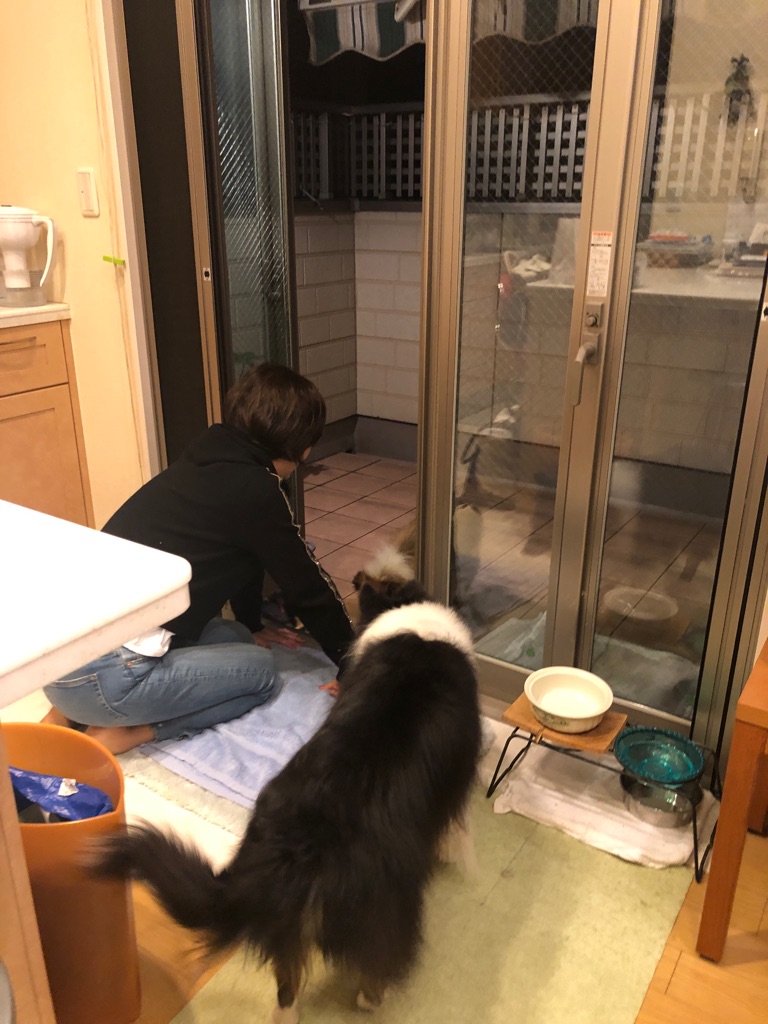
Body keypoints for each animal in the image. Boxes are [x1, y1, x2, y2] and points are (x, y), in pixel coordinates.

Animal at [92, 575, 482, 1023]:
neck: (413, 622)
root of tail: (299, 846)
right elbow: (457, 825)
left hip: (289, 924)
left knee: (287, 984)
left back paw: (288, 1013)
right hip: (386, 903)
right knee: (376, 962)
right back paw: (371, 998)